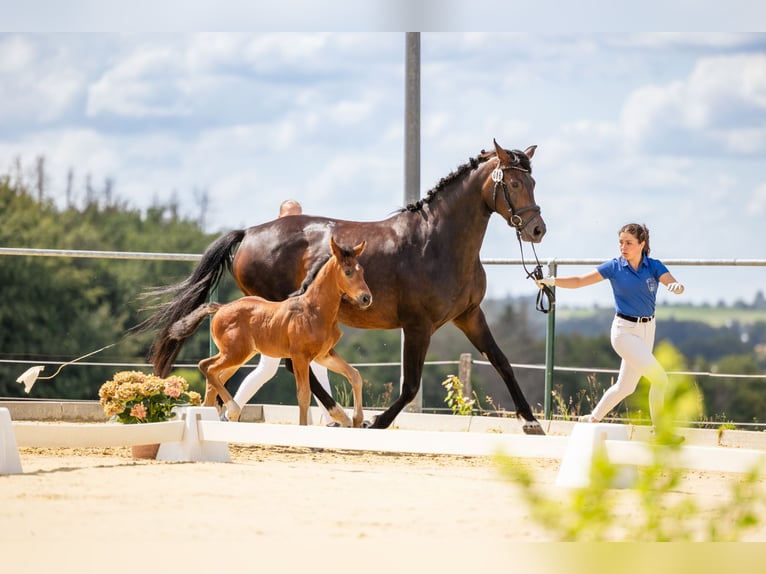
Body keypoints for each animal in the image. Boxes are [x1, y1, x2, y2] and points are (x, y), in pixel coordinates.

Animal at [166, 237, 374, 428]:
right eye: (348, 272)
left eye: (362, 271)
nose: (366, 298)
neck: (313, 309)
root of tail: (221, 308)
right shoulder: (299, 357)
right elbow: (304, 395)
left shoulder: (324, 354)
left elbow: (354, 375)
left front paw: (357, 419)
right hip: (234, 353)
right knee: (206, 367)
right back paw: (232, 409)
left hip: (239, 355)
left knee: (215, 377)